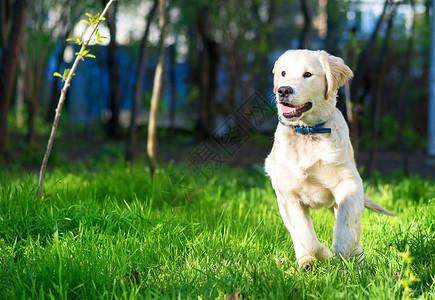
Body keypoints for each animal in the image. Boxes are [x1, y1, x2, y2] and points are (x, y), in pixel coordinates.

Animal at [264, 49, 396, 270]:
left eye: (307, 74)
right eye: (283, 73)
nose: (283, 90)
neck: (309, 132)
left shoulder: (350, 181)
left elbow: (346, 220)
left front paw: (341, 249)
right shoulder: (289, 195)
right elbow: (305, 234)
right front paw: (324, 255)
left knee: (356, 230)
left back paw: (358, 262)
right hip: (281, 200)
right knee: (295, 234)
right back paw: (305, 261)